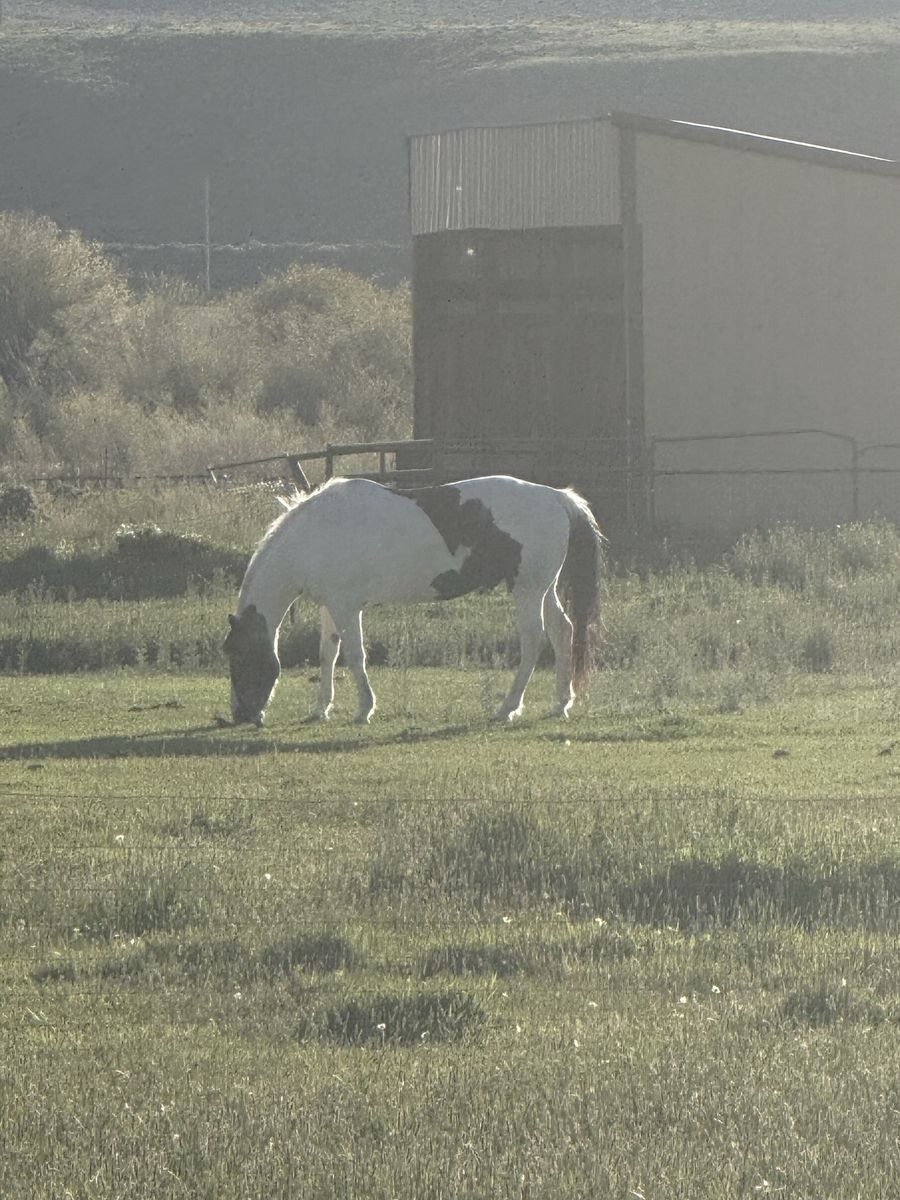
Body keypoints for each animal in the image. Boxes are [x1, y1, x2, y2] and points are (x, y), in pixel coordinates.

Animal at [224, 474, 604, 727]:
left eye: (237, 654)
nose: (241, 714)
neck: (315, 533)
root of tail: (558, 497)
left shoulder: (347, 607)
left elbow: (355, 656)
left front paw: (364, 709)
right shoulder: (330, 606)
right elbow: (327, 654)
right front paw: (321, 709)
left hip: (528, 591)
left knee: (533, 641)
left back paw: (508, 708)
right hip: (543, 589)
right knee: (562, 632)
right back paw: (561, 703)